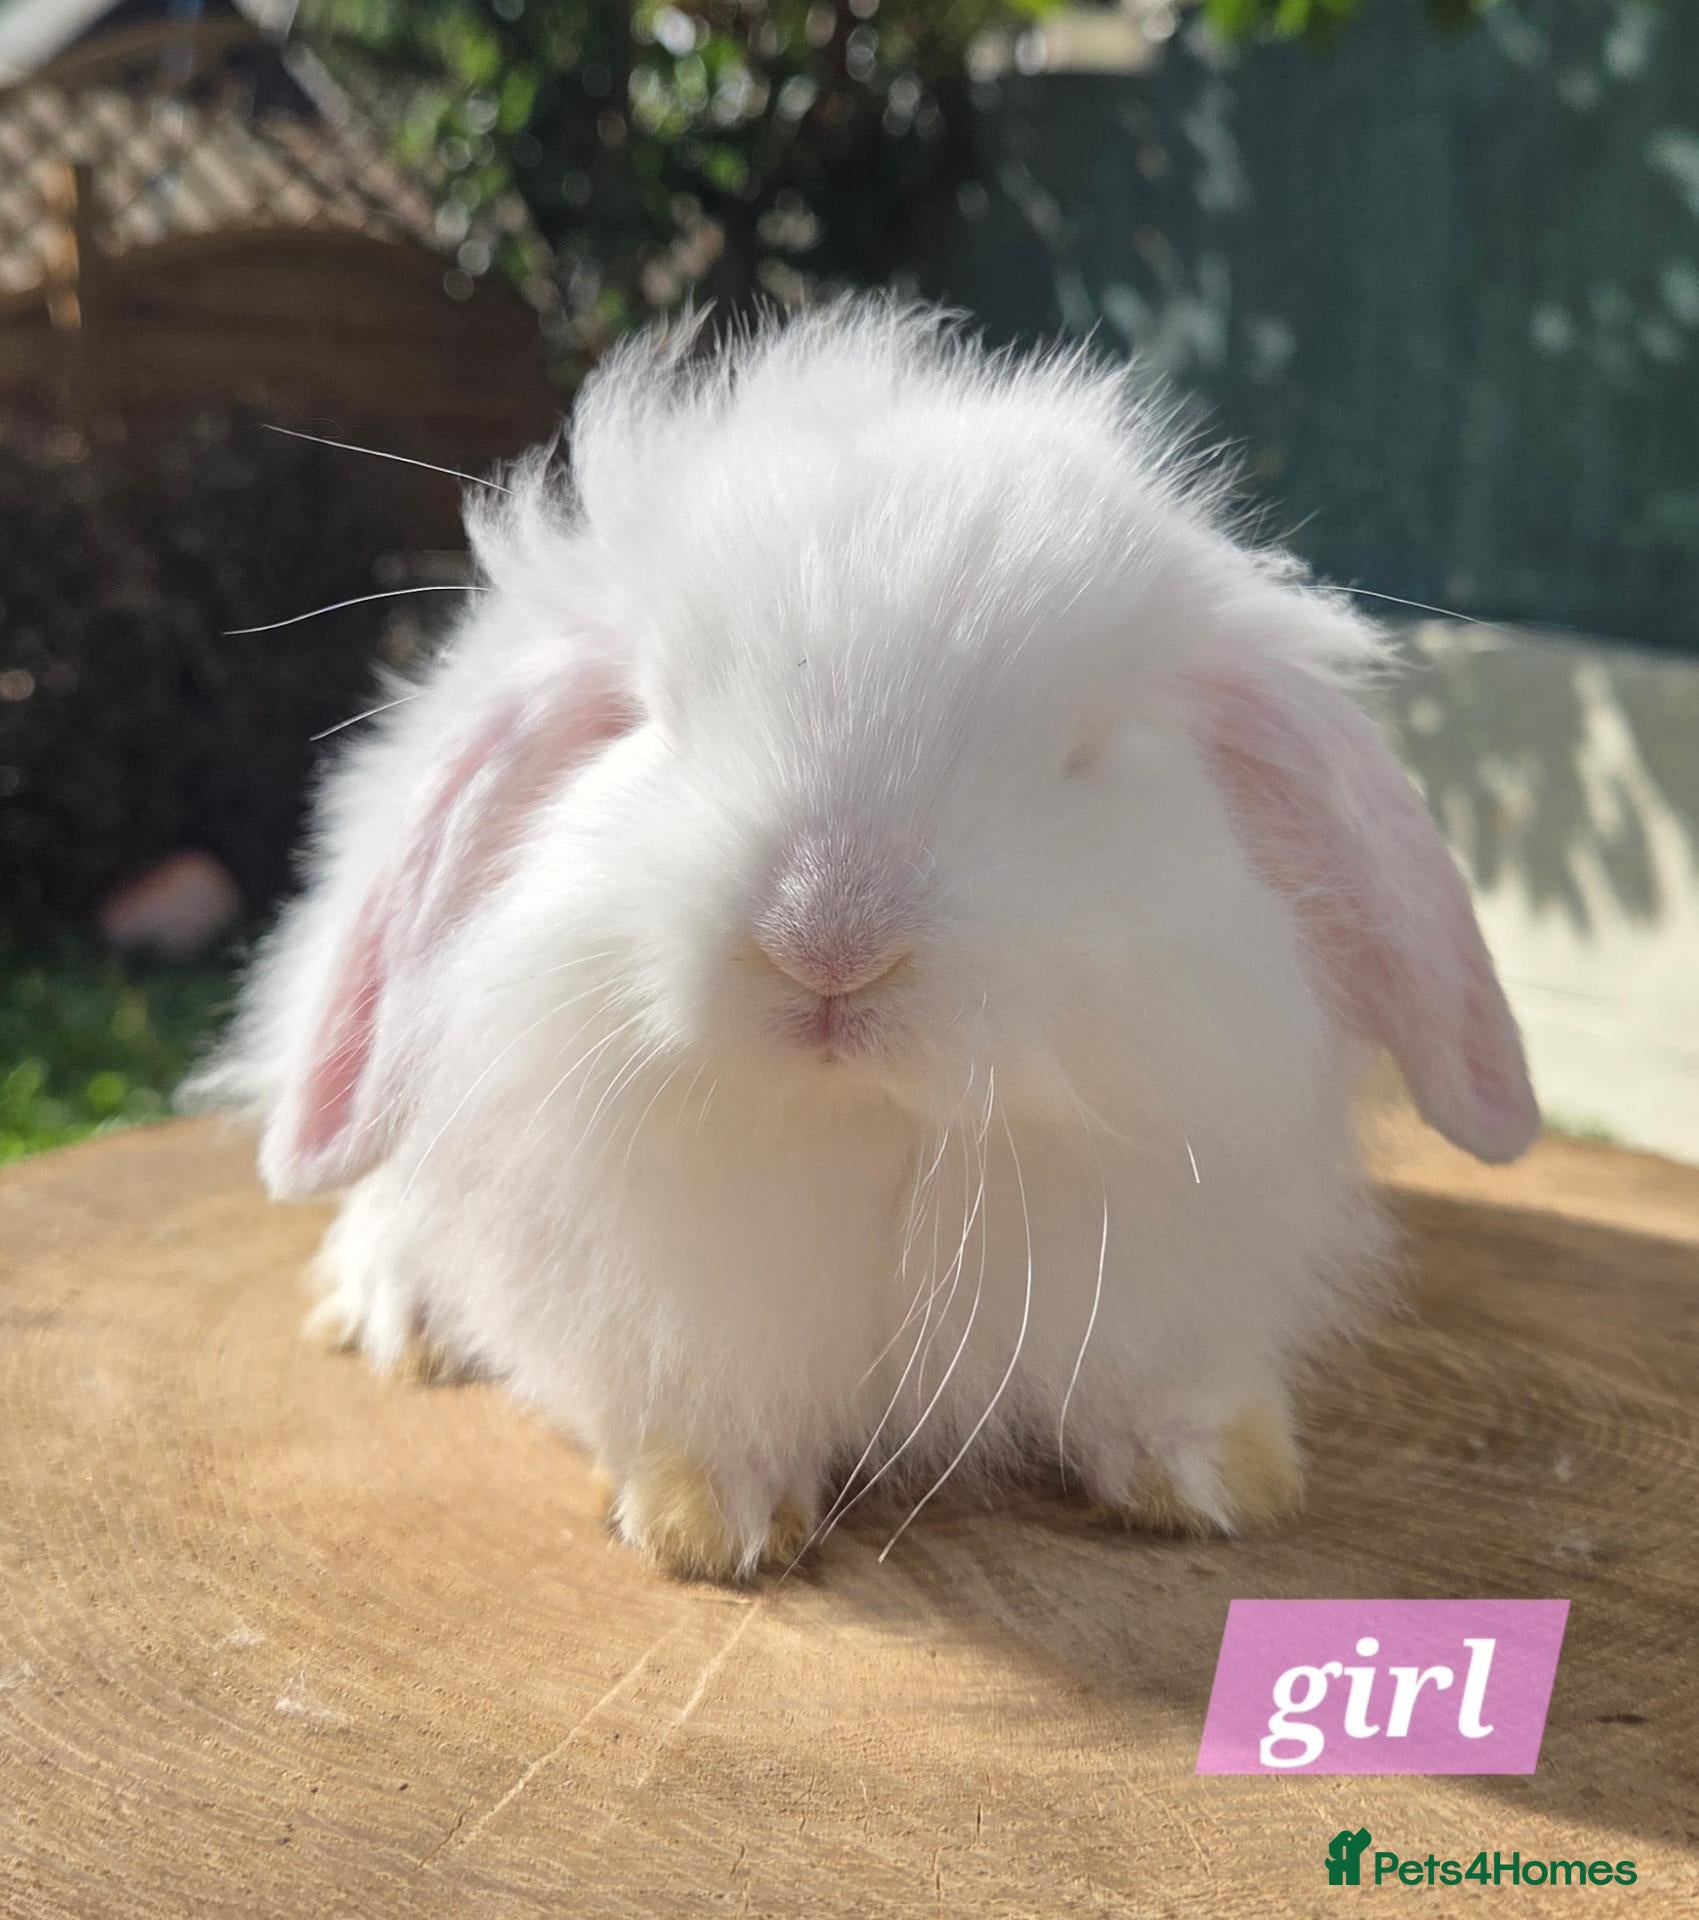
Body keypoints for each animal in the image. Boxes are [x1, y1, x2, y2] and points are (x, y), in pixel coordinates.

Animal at [193, 303, 1539, 1580]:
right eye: (649, 720)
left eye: (1089, 752)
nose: (825, 936)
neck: (878, 1134)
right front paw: (711, 1522)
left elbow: (1169, 1387)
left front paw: (1219, 1481)